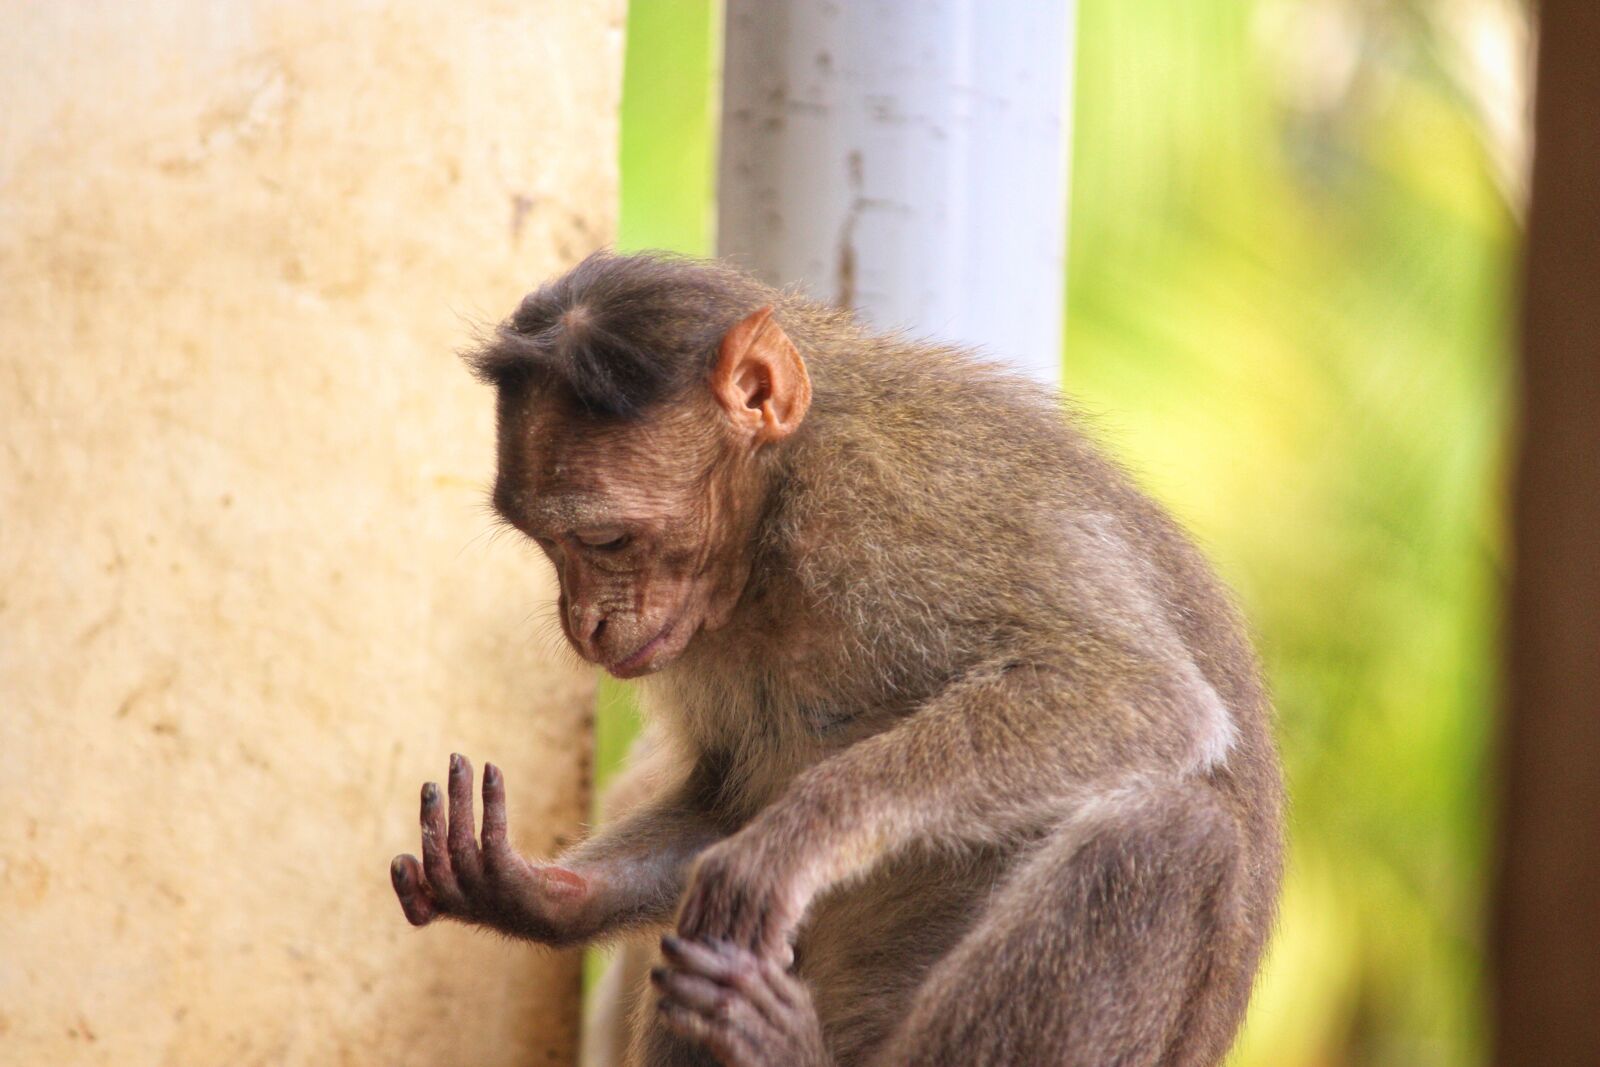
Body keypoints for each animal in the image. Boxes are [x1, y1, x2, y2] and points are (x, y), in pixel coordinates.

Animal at [389, 251, 1284, 1067]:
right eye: (548, 544)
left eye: (604, 540)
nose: (584, 624)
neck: (771, 537)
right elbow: (721, 805)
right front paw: (539, 898)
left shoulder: (892, 500)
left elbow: (1139, 691)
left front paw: (795, 835)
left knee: (1172, 832)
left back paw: (785, 1049)